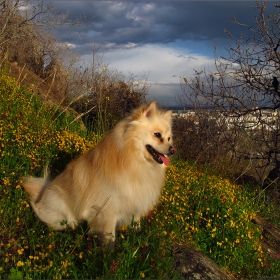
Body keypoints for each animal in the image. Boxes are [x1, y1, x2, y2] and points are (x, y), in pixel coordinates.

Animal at [23, 101, 175, 246]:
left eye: (168, 138)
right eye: (157, 135)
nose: (173, 149)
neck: (135, 160)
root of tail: (42, 191)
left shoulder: (136, 198)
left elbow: (136, 219)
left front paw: (136, 233)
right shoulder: (108, 207)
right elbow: (109, 234)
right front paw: (106, 251)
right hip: (58, 201)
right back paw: (72, 225)